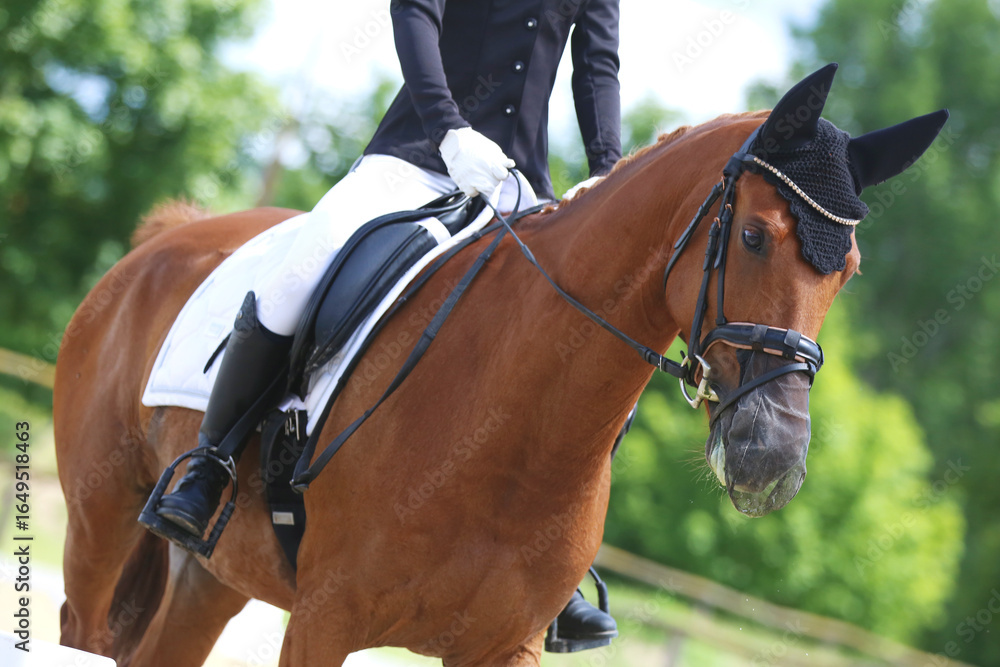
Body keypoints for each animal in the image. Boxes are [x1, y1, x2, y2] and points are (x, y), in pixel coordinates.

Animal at [54, 66, 945, 666]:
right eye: (755, 235)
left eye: (848, 271)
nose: (772, 459)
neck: (511, 431)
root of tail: (171, 234)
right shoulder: (322, 618)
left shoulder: (502, 645)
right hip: (103, 516)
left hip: (214, 574)